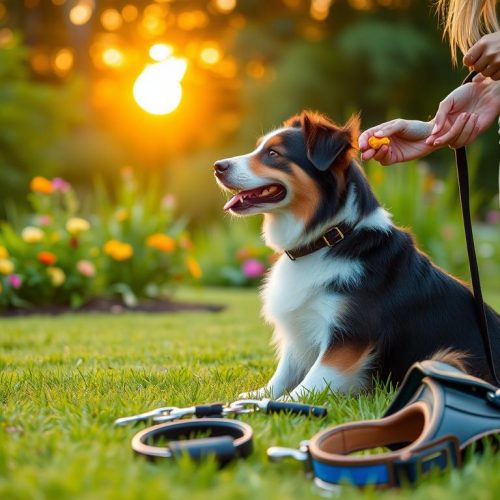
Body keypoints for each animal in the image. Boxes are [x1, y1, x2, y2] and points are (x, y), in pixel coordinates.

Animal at [212, 110, 500, 398]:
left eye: (273, 153)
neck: (328, 239)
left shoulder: (349, 336)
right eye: (259, 147)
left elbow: (311, 383)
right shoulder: (301, 328)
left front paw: (278, 404)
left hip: (449, 358)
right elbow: (285, 372)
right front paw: (254, 398)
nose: (217, 166)